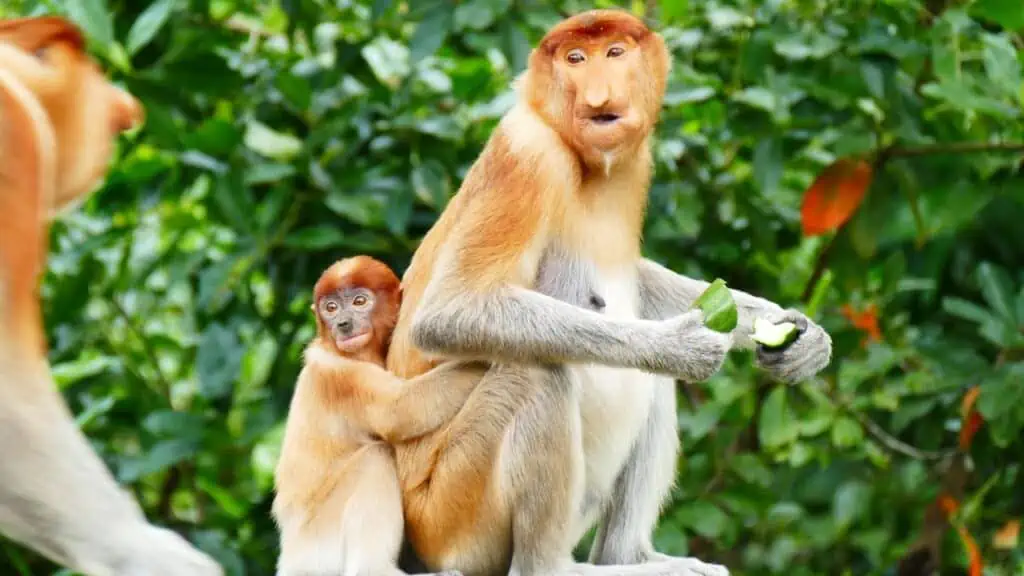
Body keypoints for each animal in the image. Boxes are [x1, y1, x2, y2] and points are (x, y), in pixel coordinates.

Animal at [272, 255, 479, 576]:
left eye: (359, 301)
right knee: (376, 457)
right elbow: (403, 409)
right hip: (320, 542)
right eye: (331, 308)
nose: (343, 324)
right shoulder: (340, 376)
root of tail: (292, 558)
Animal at [378, 9, 833, 576]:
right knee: (538, 371)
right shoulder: (527, 154)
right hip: (453, 509)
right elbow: (450, 310)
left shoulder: (636, 166)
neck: (581, 161)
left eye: (614, 52)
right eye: (575, 59)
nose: (598, 98)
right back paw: (553, 565)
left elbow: (635, 279)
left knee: (648, 386)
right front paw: (675, 345)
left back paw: (628, 556)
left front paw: (799, 336)